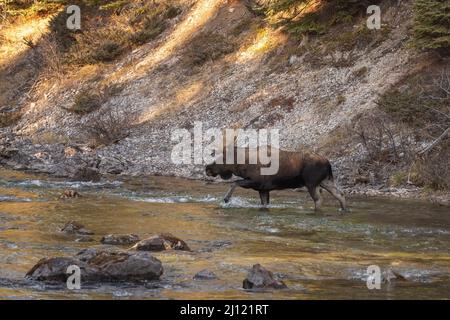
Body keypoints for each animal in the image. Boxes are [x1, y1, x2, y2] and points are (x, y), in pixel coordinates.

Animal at [205, 146, 348, 211]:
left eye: (221, 159)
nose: (207, 168)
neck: (242, 164)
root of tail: (328, 163)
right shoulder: (263, 189)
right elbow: (264, 204)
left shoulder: (255, 181)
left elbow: (234, 182)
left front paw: (226, 199)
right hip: (325, 181)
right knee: (340, 194)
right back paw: (343, 209)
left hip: (311, 183)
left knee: (319, 199)